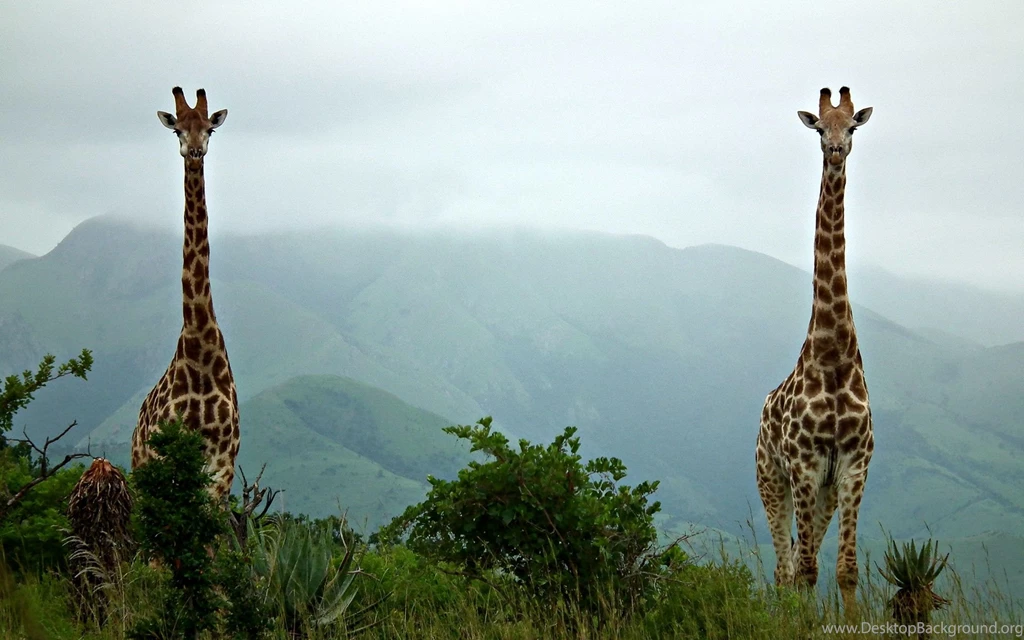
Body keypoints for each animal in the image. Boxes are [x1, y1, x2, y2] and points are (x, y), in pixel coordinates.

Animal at [131, 87, 238, 502]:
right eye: (177, 129)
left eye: (210, 128)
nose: (194, 151)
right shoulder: (166, 460)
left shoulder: (222, 466)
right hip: (140, 468)